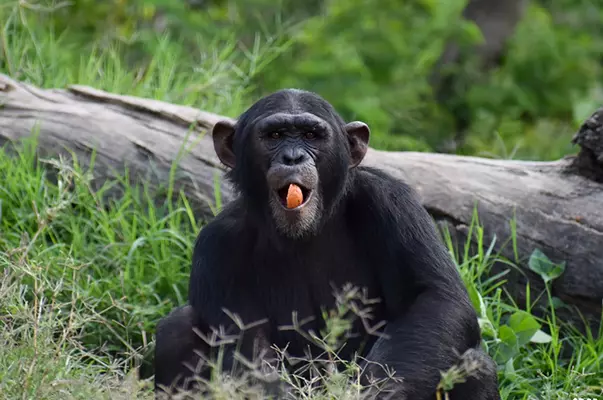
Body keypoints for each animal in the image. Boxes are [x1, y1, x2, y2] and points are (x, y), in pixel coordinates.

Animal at [153, 89, 502, 398]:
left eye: (311, 135)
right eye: (274, 135)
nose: (292, 157)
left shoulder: (393, 203)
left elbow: (436, 300)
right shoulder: (216, 246)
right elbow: (247, 349)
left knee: (473, 365)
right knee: (177, 330)